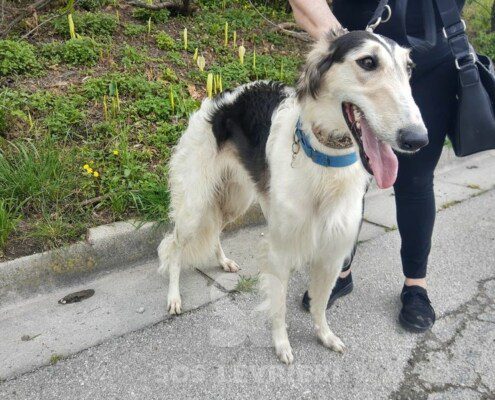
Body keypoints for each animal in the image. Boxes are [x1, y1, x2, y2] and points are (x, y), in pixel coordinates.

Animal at [159, 29, 430, 364]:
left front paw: (325, 336)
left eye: (409, 68)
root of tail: (219, 98)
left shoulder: (332, 252)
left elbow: (319, 304)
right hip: (195, 206)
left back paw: (223, 262)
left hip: (234, 200)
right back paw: (174, 297)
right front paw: (282, 346)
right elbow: (279, 308)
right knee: (174, 248)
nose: (418, 139)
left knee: (216, 232)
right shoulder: (281, 249)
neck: (325, 160)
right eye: (367, 62)